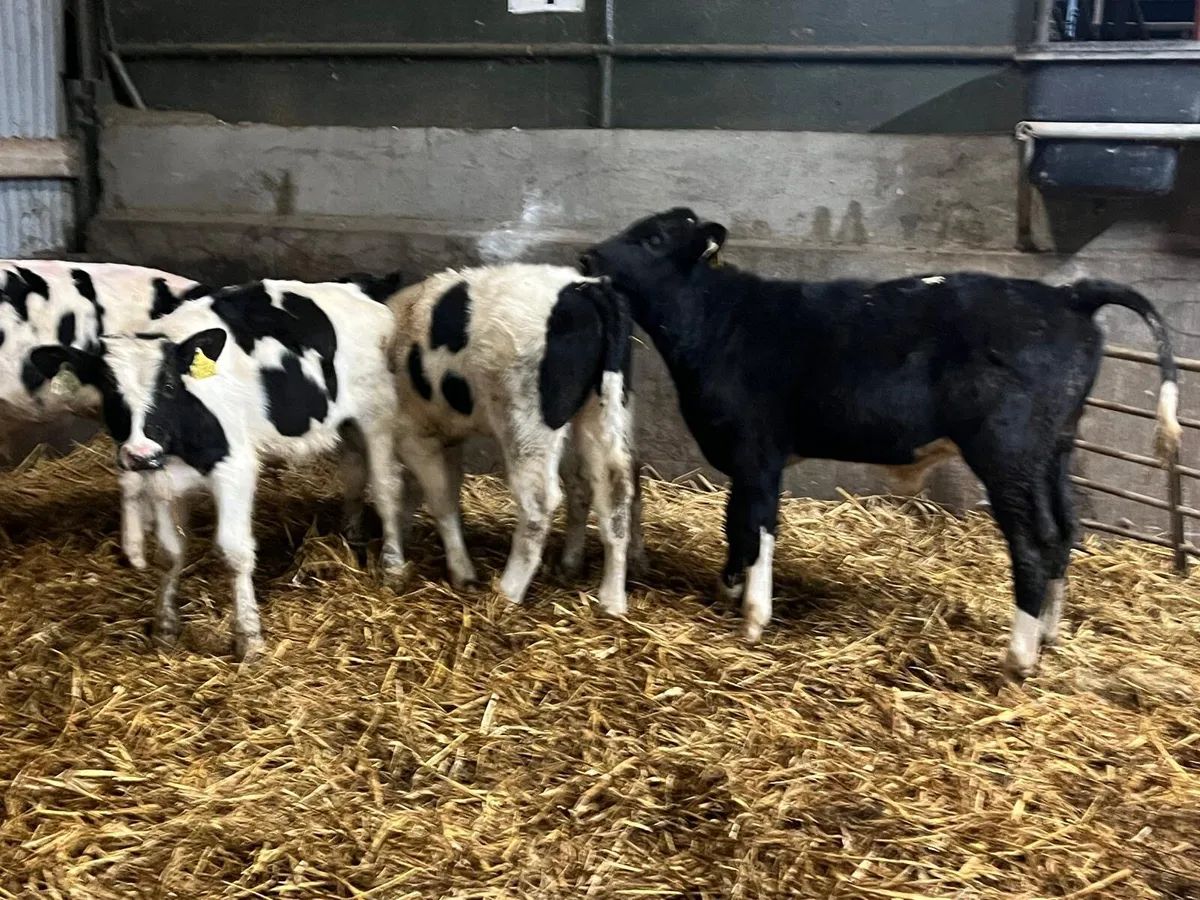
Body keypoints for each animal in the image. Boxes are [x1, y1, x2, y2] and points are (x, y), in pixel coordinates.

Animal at [27, 278, 405, 662]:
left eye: (168, 386)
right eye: (109, 392)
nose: (140, 453)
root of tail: (358, 289)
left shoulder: (234, 471)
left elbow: (234, 552)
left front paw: (249, 639)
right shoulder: (161, 478)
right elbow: (169, 553)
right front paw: (164, 628)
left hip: (379, 417)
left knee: (386, 489)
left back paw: (392, 566)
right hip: (347, 425)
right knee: (354, 474)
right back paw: (353, 535)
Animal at [384, 264, 637, 616]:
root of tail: (585, 286)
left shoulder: (414, 434)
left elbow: (434, 498)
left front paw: (457, 572)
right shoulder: (446, 436)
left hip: (526, 423)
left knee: (539, 502)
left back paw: (508, 590)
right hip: (602, 412)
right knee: (611, 492)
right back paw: (609, 597)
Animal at [580, 208, 1182, 680]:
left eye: (654, 238)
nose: (587, 254)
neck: (718, 322)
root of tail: (1069, 295)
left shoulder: (758, 451)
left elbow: (758, 526)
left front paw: (753, 616)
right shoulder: (742, 458)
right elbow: (736, 523)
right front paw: (730, 592)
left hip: (1008, 452)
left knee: (1035, 542)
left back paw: (1018, 656)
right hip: (1054, 451)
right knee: (1065, 531)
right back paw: (1049, 638)